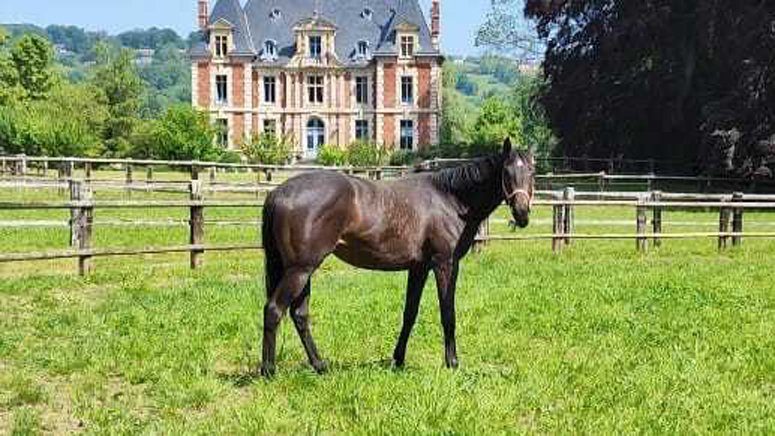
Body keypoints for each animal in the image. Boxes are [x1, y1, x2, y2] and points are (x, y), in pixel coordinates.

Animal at [260, 138, 535, 376]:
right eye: (507, 173)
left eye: (532, 172)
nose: (522, 213)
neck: (450, 199)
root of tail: (278, 193)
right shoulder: (445, 264)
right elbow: (448, 313)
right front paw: (452, 363)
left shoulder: (419, 268)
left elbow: (409, 313)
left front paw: (398, 359)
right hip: (300, 269)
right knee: (274, 310)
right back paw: (269, 370)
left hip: (301, 270)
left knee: (299, 315)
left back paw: (320, 365)